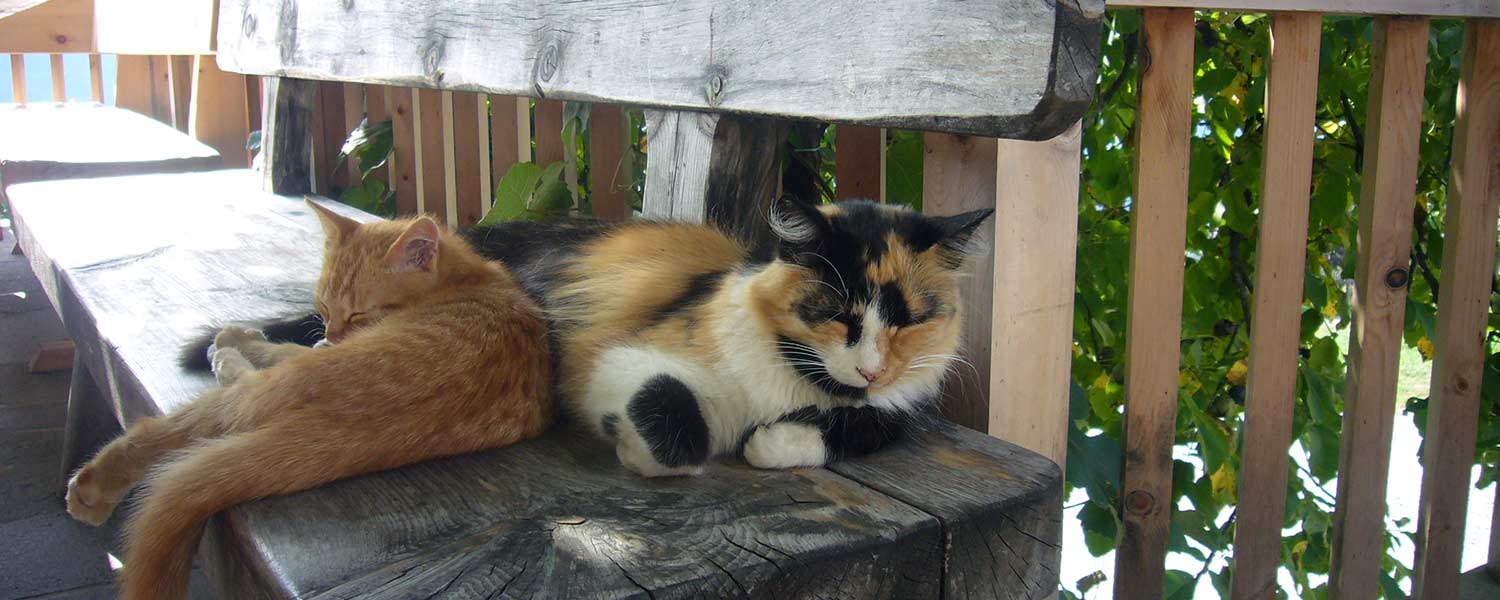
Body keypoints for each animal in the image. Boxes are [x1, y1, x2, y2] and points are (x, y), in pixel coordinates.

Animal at [63, 201, 552, 600]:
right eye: (325, 305)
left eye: (359, 314)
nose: (333, 334)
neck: (469, 279)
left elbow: (276, 348)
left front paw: (240, 338)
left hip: (257, 390)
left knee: (170, 425)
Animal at [193, 196, 990, 477]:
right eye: (835, 310)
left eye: (909, 320)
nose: (872, 369)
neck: (797, 382)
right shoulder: (619, 361)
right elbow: (675, 426)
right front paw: (633, 446)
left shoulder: (893, 412)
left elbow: (844, 430)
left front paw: (774, 442)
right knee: (304, 356)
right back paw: (229, 353)